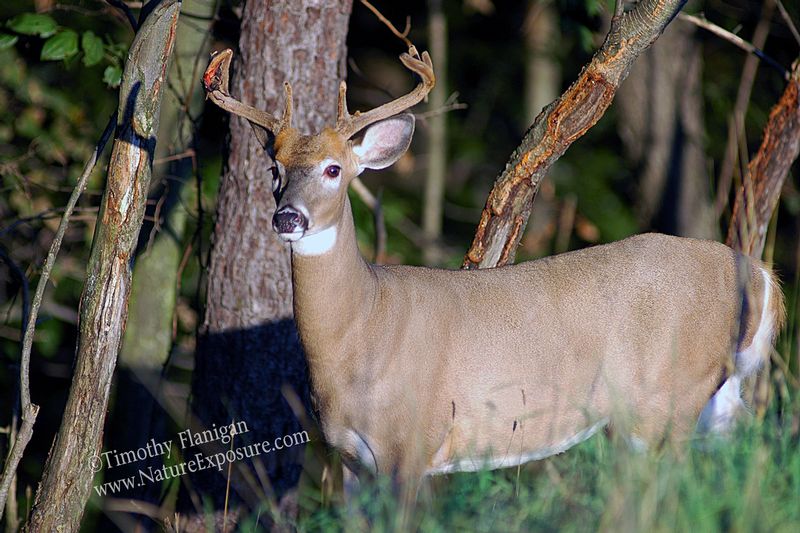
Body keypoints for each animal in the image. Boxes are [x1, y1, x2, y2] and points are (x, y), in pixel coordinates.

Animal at [202, 47, 785, 491]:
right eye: (274, 171)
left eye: (333, 169)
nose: (288, 217)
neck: (364, 327)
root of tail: (757, 274)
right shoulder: (348, 459)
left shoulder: (411, 442)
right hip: (709, 399)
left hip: (666, 397)